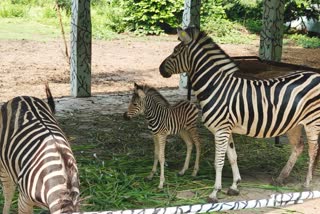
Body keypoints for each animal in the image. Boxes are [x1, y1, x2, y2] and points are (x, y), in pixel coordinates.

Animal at [159, 27, 320, 203]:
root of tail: (316, 75)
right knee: (298, 147)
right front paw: (235, 186)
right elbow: (232, 157)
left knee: (312, 150)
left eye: (175, 51)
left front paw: (214, 192)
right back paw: (281, 178)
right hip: (294, 123)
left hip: (312, 121)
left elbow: (219, 161)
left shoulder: (221, 130)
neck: (215, 87)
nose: (160, 69)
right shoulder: (225, 129)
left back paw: (306, 184)